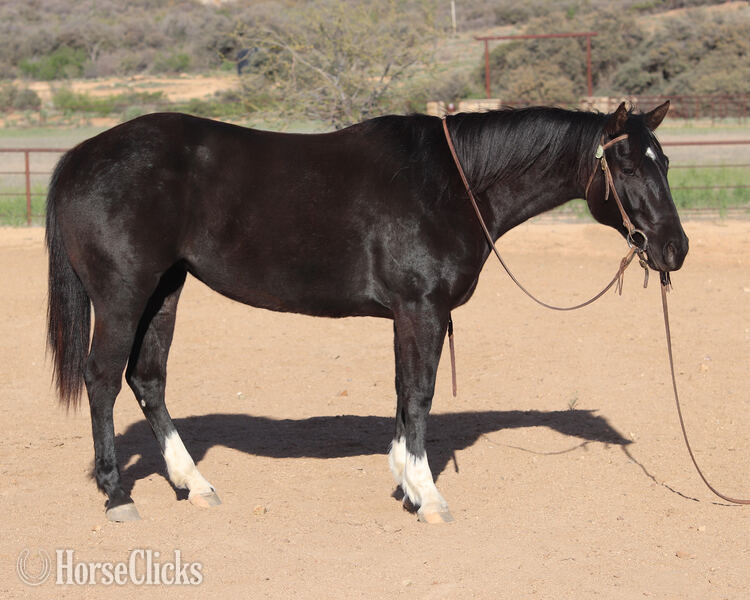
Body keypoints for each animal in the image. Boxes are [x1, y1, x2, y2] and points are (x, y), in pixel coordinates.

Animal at [46, 101, 688, 523]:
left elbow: (404, 393)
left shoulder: (408, 315)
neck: (453, 183)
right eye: (629, 167)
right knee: (103, 380)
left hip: (166, 290)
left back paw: (194, 485)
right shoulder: (422, 309)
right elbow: (421, 395)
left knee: (147, 380)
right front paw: (429, 497)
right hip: (125, 294)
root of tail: (81, 156)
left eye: (665, 163)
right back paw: (118, 495)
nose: (674, 249)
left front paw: (406, 485)